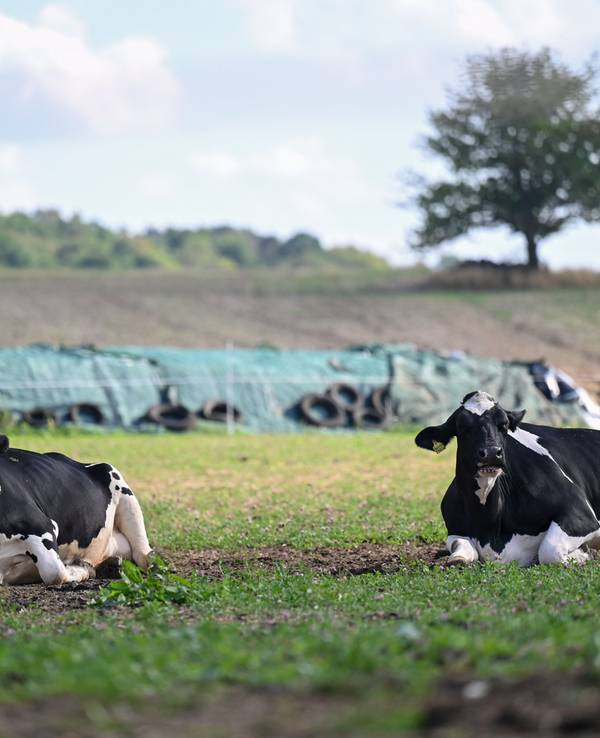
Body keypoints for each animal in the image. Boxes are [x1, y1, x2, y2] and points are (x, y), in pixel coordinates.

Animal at [0, 435, 152, 585]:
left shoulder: (42, 527)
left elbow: (54, 571)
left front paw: (80, 568)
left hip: (122, 490)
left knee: (144, 556)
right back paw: (110, 566)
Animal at [415, 390, 600, 566]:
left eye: (503, 425)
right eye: (462, 426)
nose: (491, 452)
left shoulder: (581, 512)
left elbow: (549, 550)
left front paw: (581, 555)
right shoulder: (455, 529)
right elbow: (460, 550)